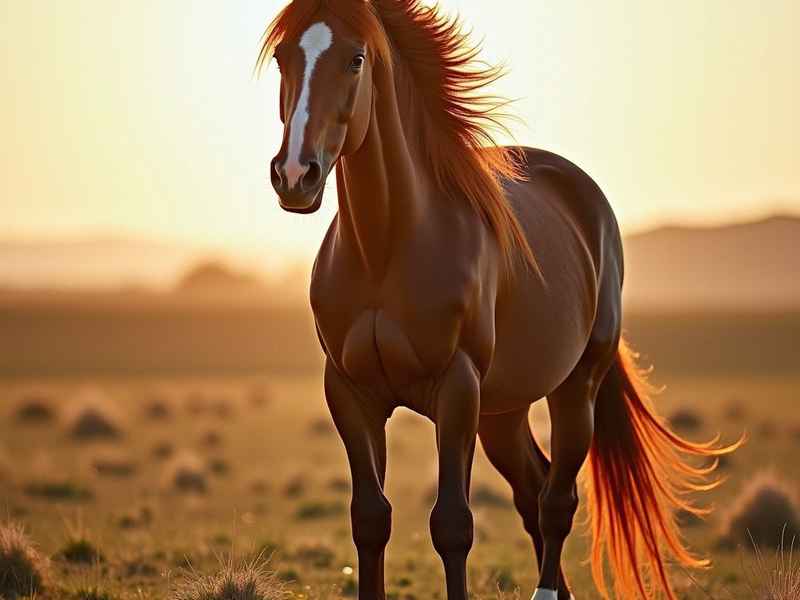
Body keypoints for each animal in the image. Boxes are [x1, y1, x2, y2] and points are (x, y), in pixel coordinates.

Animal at [259, 1, 740, 598]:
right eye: (284, 56)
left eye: (355, 59)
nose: (294, 176)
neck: (386, 247)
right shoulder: (351, 392)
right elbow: (370, 518)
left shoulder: (457, 388)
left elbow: (452, 524)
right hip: (502, 413)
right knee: (533, 490)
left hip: (573, 391)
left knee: (557, 500)